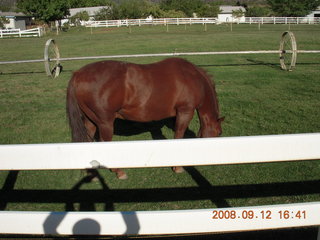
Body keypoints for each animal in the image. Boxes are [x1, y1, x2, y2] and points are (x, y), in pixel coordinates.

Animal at [66, 57, 224, 179]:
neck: (192, 77)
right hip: (105, 123)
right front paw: (177, 167)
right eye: (219, 133)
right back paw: (119, 172)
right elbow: (179, 135)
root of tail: (78, 74)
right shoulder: (185, 111)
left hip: (90, 121)